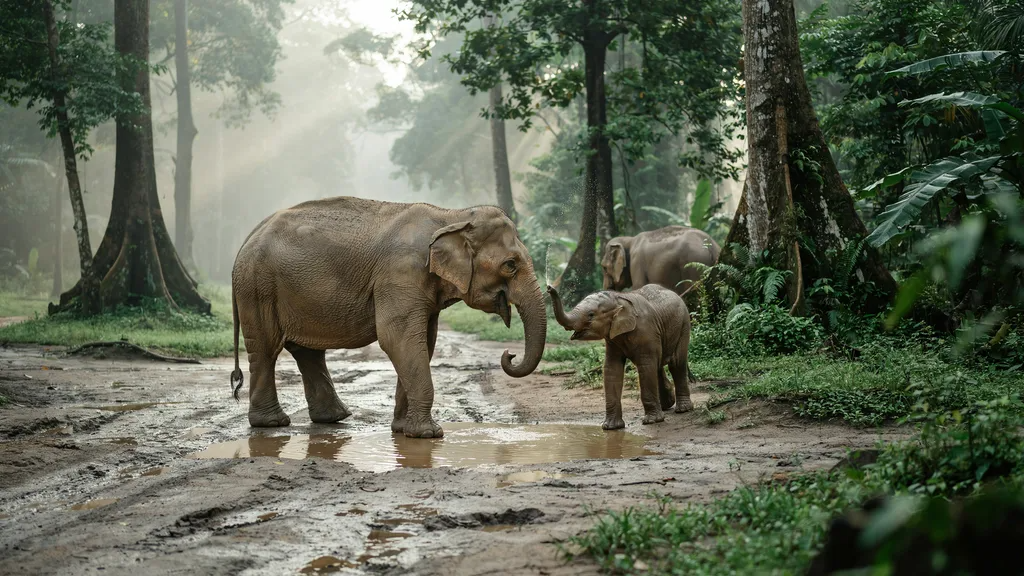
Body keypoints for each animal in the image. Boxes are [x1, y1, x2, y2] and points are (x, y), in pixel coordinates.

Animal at [230, 197, 547, 438]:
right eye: (510, 265)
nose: (509, 355)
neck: (452, 216)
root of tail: (246, 239)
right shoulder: (400, 275)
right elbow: (399, 339)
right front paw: (429, 434)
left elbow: (424, 342)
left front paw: (404, 430)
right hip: (258, 287)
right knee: (266, 348)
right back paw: (273, 423)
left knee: (307, 352)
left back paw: (334, 418)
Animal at [547, 283, 693, 430]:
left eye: (591, 315)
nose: (549, 288)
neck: (617, 298)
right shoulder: (613, 338)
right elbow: (612, 369)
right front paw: (610, 427)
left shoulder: (647, 331)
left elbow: (645, 366)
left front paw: (651, 421)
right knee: (657, 365)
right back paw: (666, 406)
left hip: (684, 324)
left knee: (676, 364)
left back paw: (683, 409)